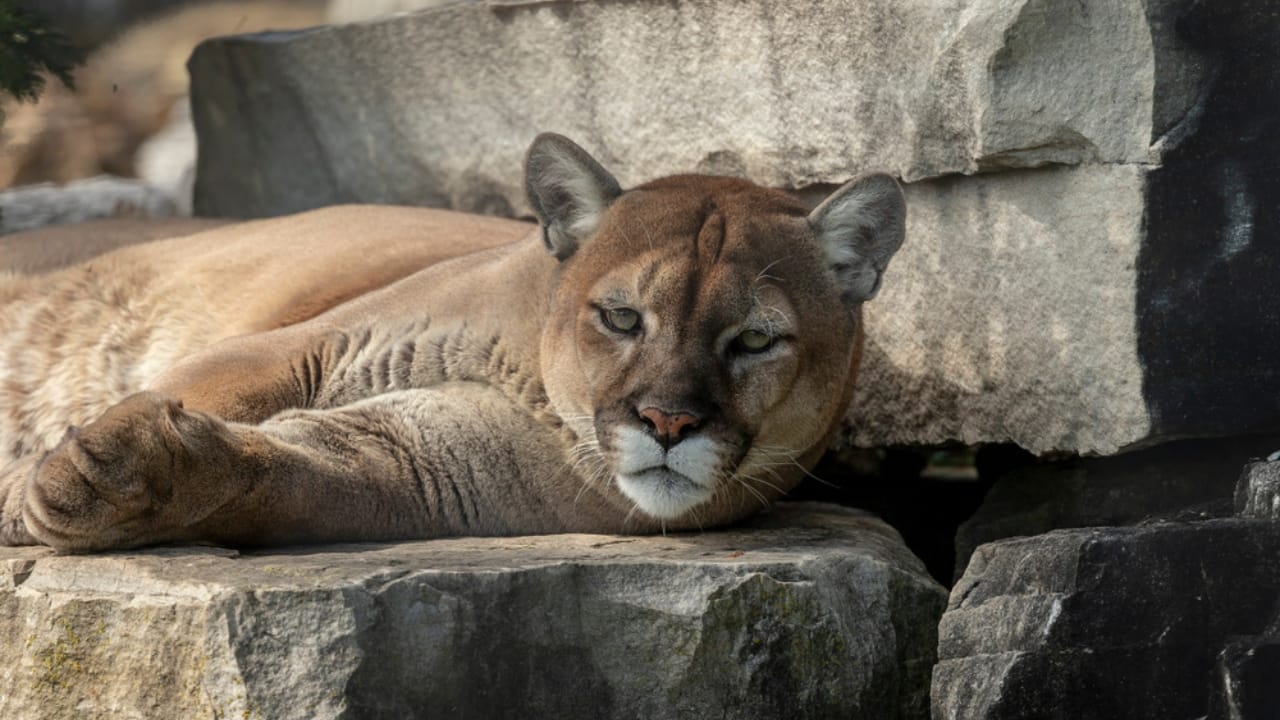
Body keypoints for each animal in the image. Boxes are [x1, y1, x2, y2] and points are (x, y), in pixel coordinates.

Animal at [0, 134, 905, 551]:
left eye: (754, 339)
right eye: (621, 318)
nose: (668, 423)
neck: (531, 380)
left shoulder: (417, 461)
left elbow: (283, 472)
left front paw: (106, 476)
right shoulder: (306, 343)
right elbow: (210, 388)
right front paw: (52, 480)